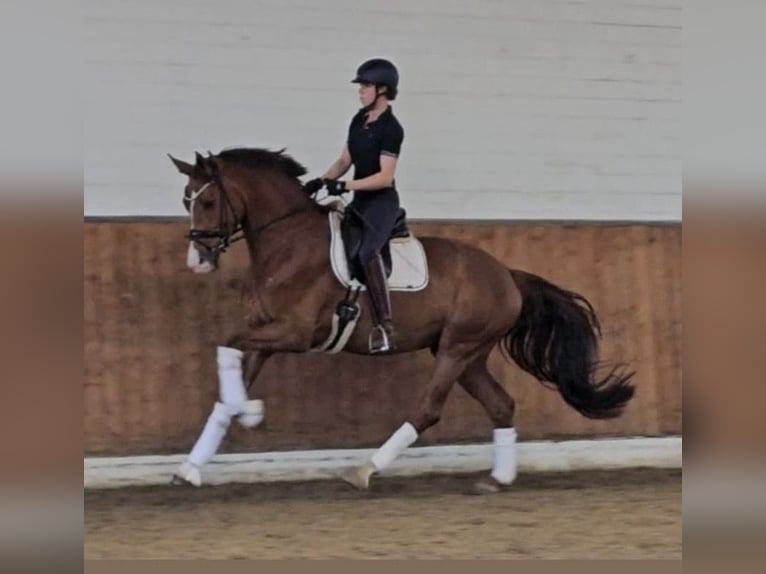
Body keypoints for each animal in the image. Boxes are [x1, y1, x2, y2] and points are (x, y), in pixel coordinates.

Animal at [167, 147, 635, 494]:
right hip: (468, 354)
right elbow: (227, 378)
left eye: (208, 201)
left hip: (457, 349)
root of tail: (507, 275)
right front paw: (195, 462)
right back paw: (497, 479)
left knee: (428, 409)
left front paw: (250, 413)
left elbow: (227, 343)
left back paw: (364, 470)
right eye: (186, 200)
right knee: (501, 404)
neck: (287, 242)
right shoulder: (267, 335)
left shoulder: (295, 333)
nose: (197, 261)